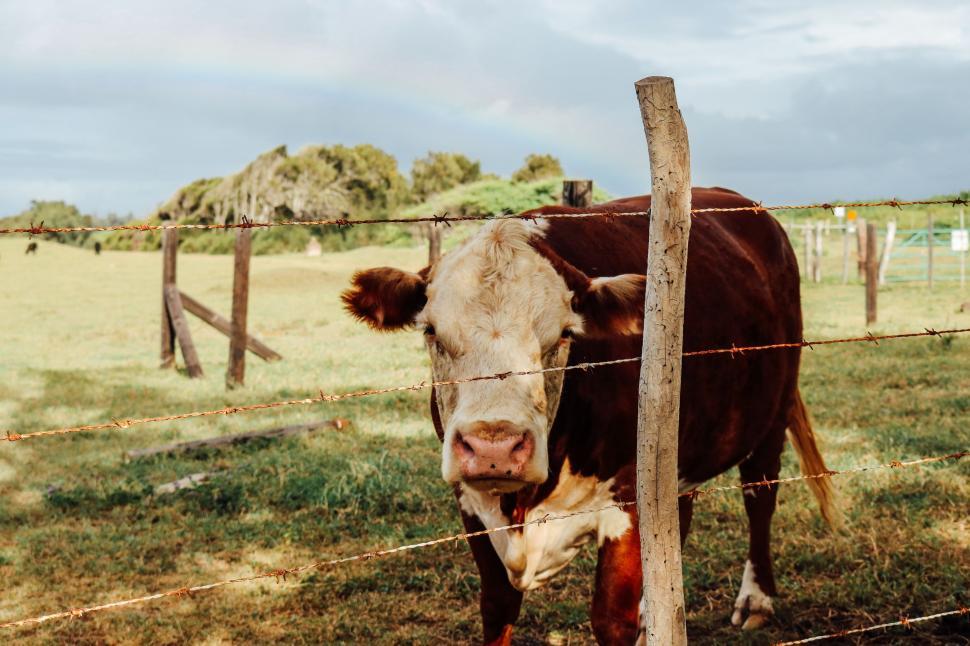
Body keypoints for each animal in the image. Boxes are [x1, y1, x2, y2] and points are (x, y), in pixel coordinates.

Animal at [342, 187, 837, 644]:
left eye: (564, 334)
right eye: (430, 331)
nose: (493, 448)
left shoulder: (629, 497)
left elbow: (609, 619)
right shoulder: (470, 502)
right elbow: (497, 607)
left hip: (771, 414)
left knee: (760, 496)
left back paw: (755, 599)